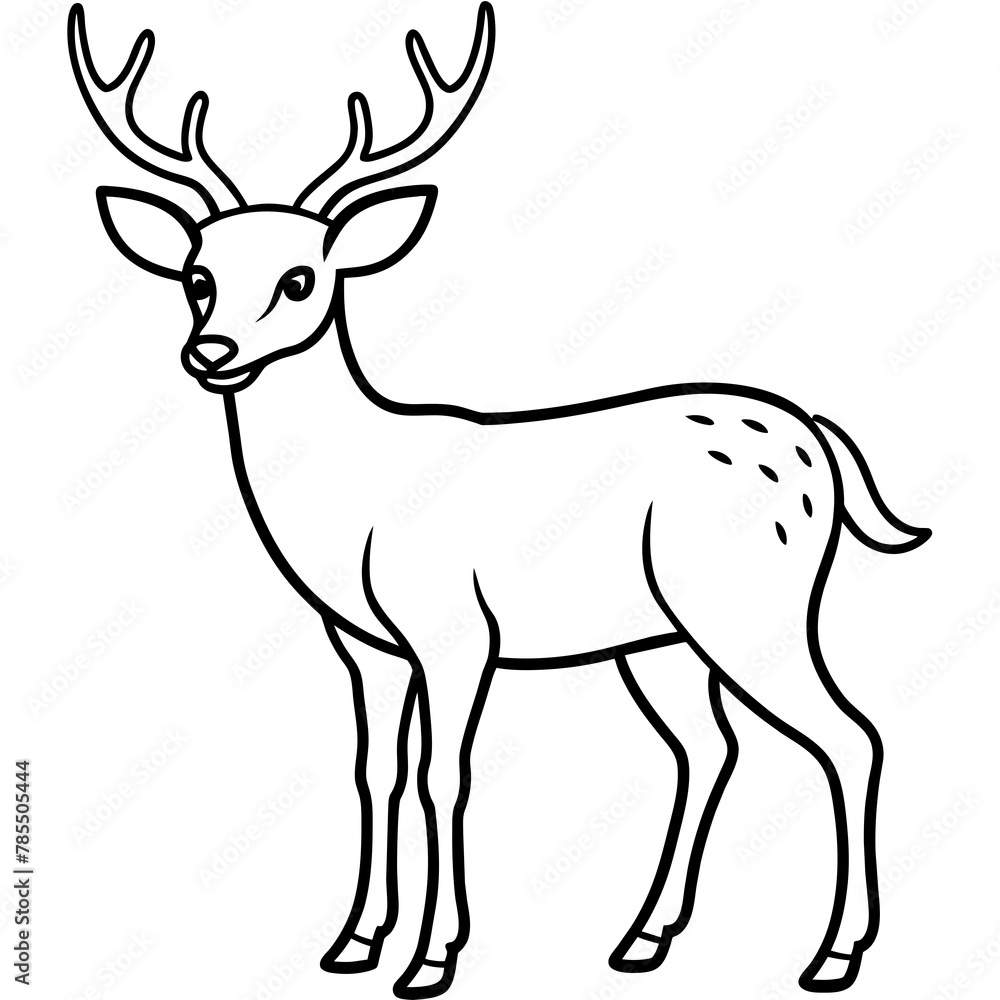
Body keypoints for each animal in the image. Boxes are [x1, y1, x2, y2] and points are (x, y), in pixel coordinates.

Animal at [68, 3, 931, 996]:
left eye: (301, 278)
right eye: (196, 275)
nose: (210, 353)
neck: (354, 503)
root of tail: (819, 441)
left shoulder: (454, 629)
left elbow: (445, 775)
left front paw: (431, 958)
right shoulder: (363, 643)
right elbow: (375, 772)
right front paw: (354, 942)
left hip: (756, 600)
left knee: (851, 735)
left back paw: (833, 955)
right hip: (661, 637)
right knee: (712, 747)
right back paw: (644, 938)